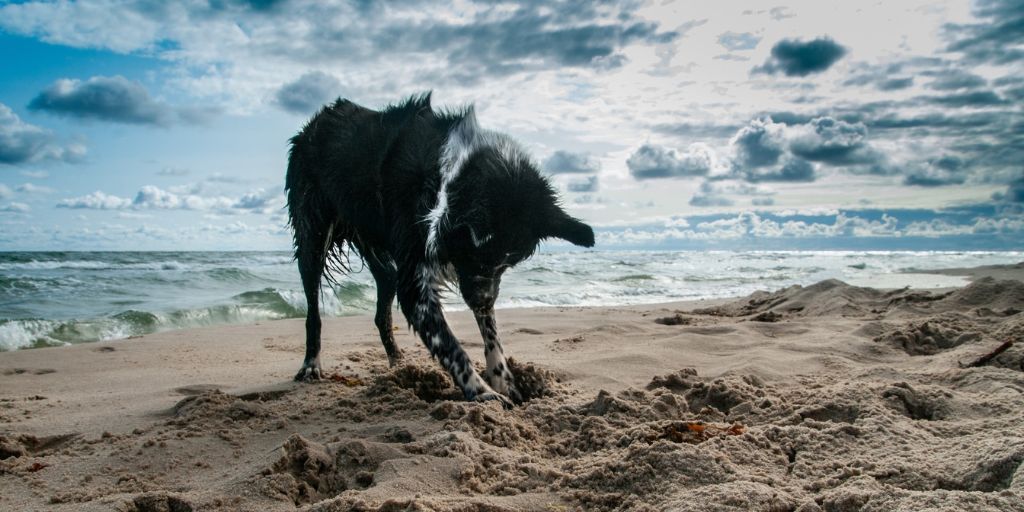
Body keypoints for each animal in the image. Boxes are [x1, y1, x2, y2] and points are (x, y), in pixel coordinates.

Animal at [284, 93, 598, 407]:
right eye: (476, 256)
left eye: (509, 263)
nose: (484, 301)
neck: (446, 177)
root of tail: (318, 120)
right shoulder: (417, 282)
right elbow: (451, 346)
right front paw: (483, 392)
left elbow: (491, 332)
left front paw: (502, 378)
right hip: (313, 234)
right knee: (313, 310)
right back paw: (311, 364)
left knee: (384, 290)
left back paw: (397, 362)